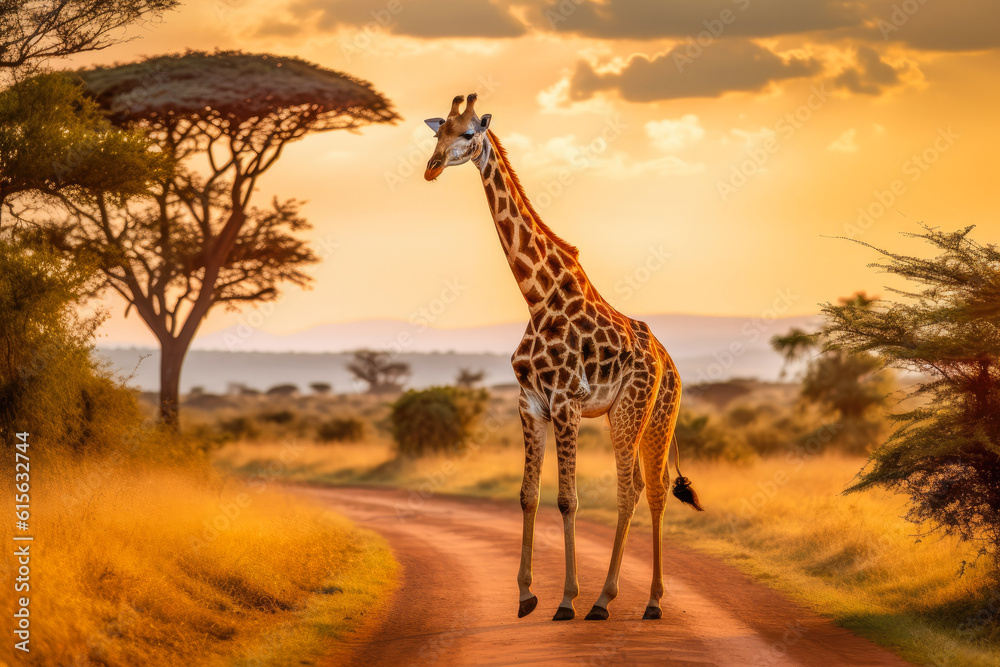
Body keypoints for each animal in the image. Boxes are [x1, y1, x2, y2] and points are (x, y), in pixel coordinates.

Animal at [422, 96, 704, 624]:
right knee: (644, 485)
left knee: (641, 489)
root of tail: (671, 366)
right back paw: (624, 598)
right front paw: (525, 596)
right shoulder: (530, 403)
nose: (430, 167)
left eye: (469, 133)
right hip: (633, 415)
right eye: (437, 132)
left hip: (640, 412)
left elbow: (568, 500)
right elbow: (527, 496)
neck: (537, 297)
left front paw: (567, 599)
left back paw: (628, 601)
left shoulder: (566, 402)